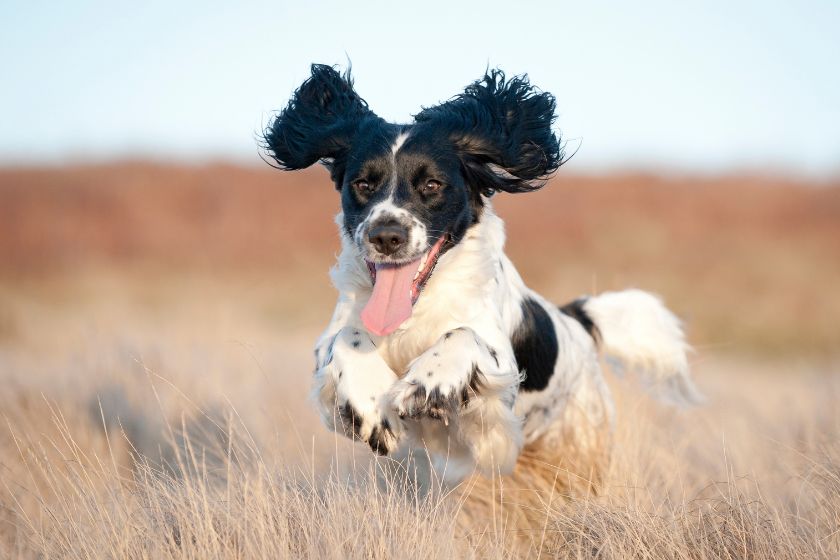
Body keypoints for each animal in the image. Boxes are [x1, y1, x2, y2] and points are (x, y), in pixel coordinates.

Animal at [264, 64, 704, 486]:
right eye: (362, 183)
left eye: (432, 184)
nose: (386, 235)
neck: (415, 310)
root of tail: (575, 320)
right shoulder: (331, 348)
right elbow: (346, 337)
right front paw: (372, 406)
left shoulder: (498, 383)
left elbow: (463, 335)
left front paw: (425, 384)